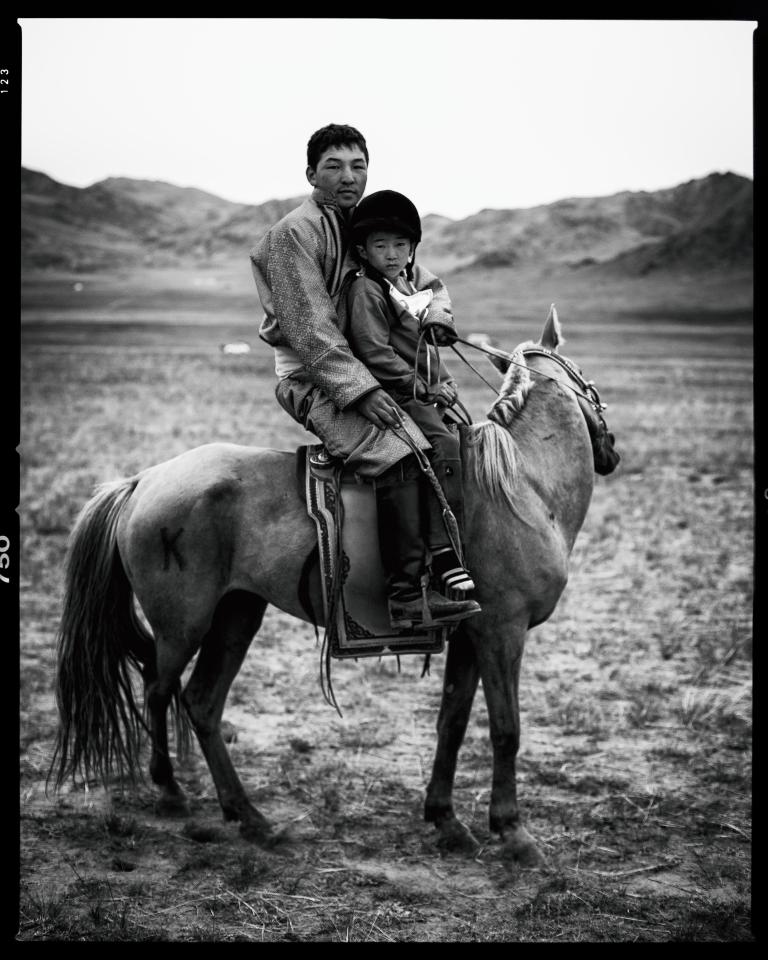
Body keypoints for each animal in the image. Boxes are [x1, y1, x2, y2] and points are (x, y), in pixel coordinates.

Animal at [49, 312, 616, 868]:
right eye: (588, 381)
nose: (610, 451)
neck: (524, 487)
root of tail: (143, 481)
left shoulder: (471, 635)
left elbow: (452, 722)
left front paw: (446, 821)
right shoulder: (503, 631)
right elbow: (506, 729)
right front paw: (513, 833)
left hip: (237, 614)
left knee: (201, 702)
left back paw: (252, 819)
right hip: (183, 623)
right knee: (157, 688)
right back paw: (172, 792)